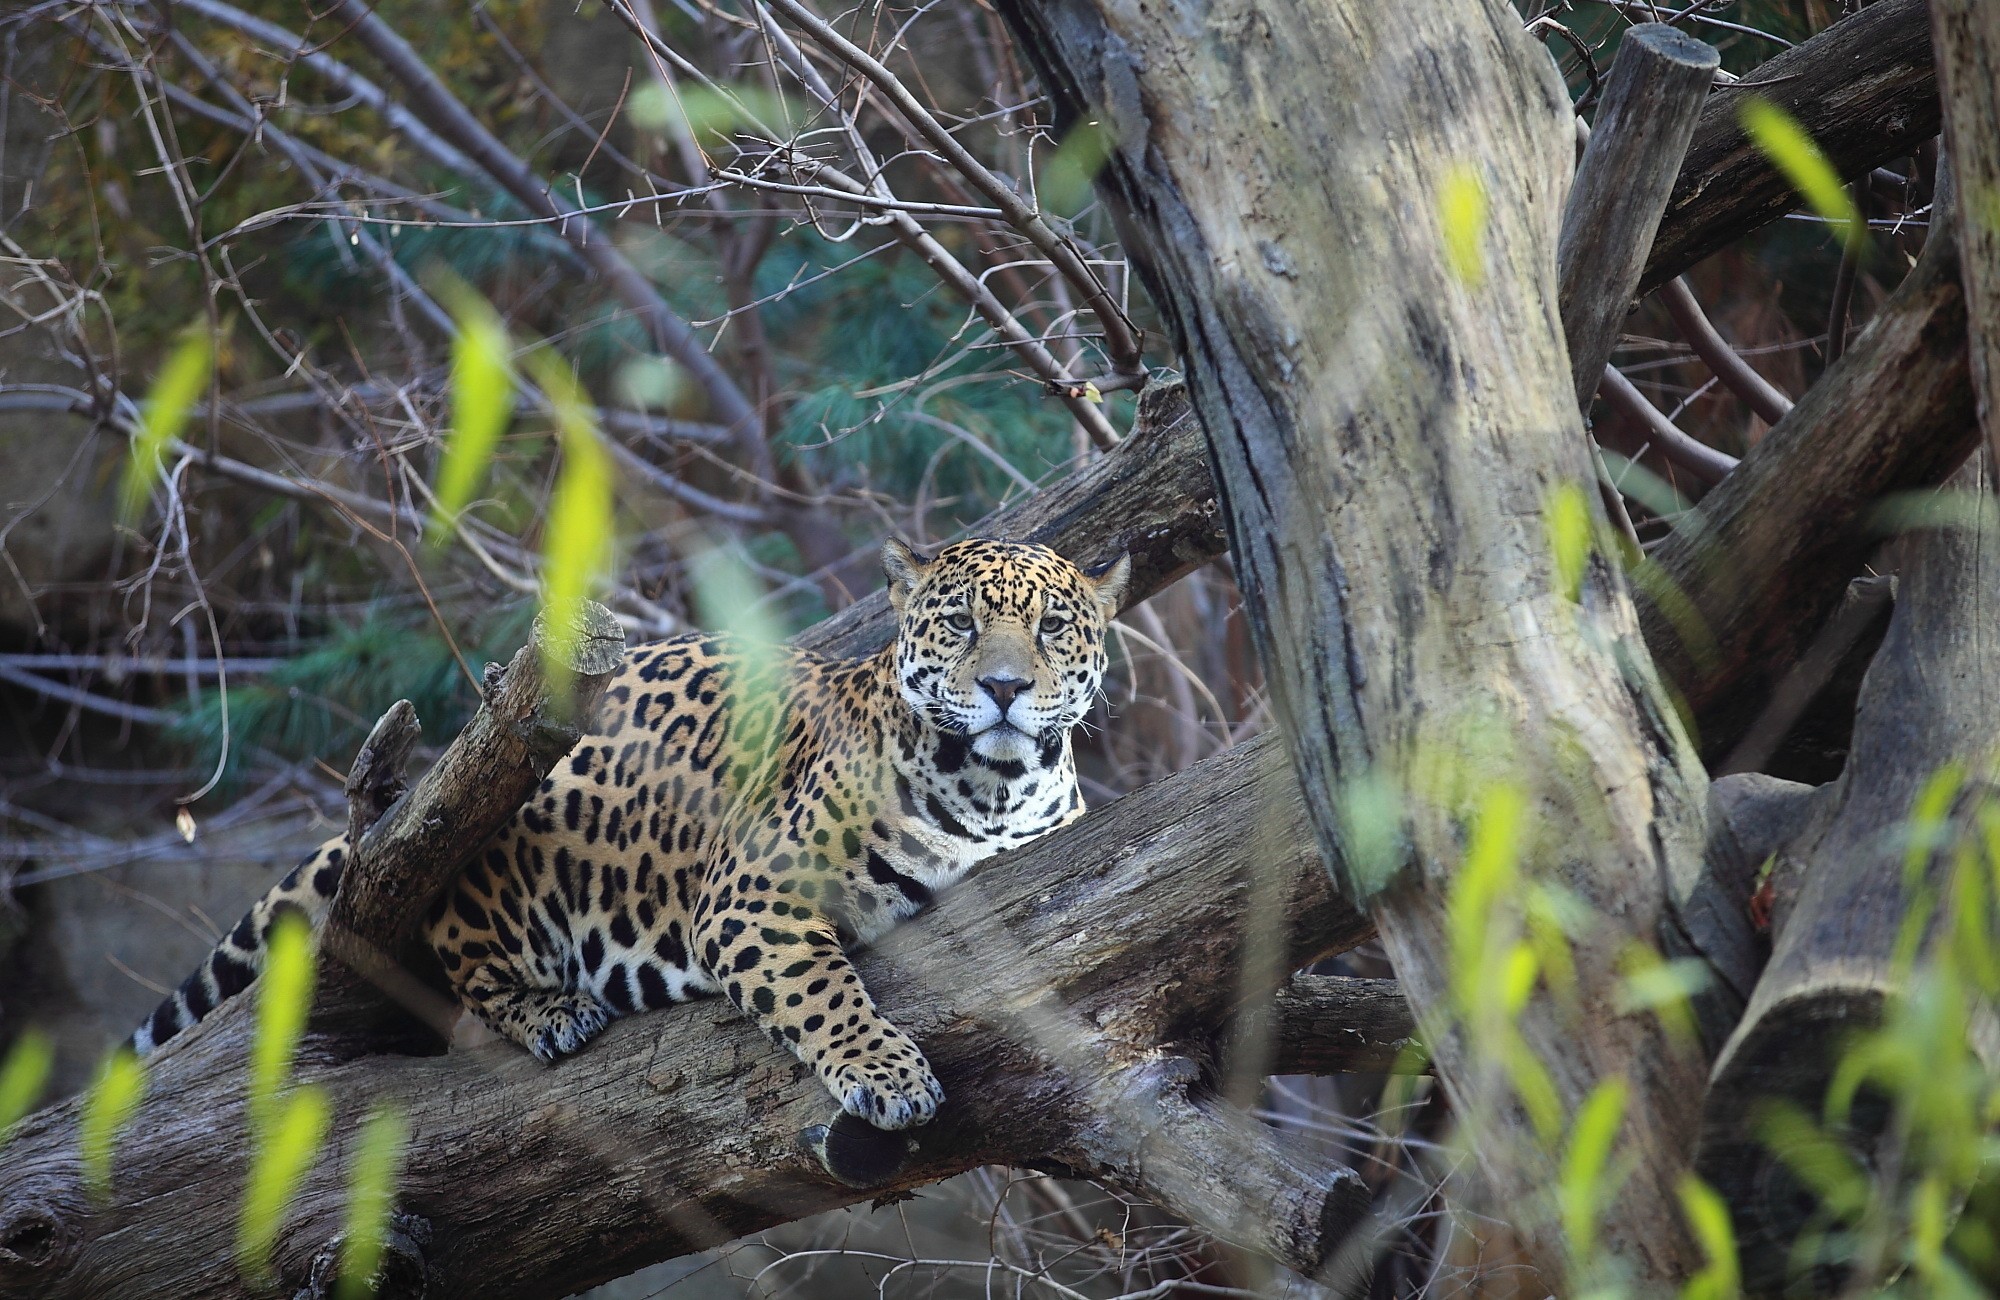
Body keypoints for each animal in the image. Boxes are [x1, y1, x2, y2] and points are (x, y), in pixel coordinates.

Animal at [132, 538, 1129, 1130]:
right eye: (960, 623)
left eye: (1052, 627)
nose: (1004, 687)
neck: (995, 785)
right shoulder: (750, 894)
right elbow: (825, 993)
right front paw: (887, 1076)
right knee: (464, 965)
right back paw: (554, 1012)